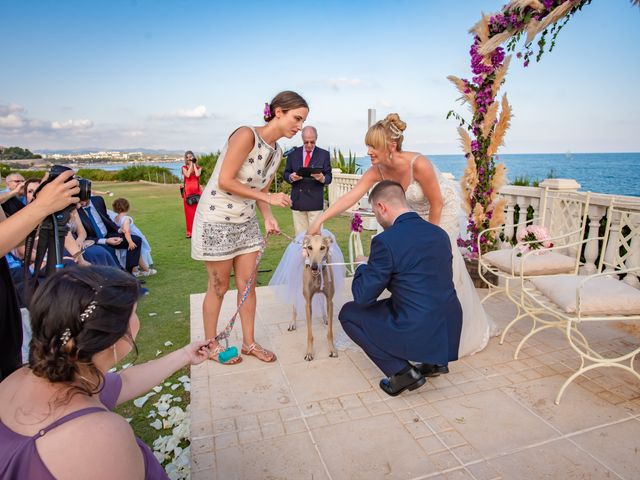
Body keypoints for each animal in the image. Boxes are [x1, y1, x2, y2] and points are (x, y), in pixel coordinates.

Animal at [288, 232, 338, 360]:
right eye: (310, 247)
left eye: (322, 247)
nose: (314, 267)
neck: (317, 276)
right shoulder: (308, 303)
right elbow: (310, 334)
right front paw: (309, 353)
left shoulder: (330, 300)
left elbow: (330, 332)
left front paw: (332, 349)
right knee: (294, 305)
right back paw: (292, 323)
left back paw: (325, 318)